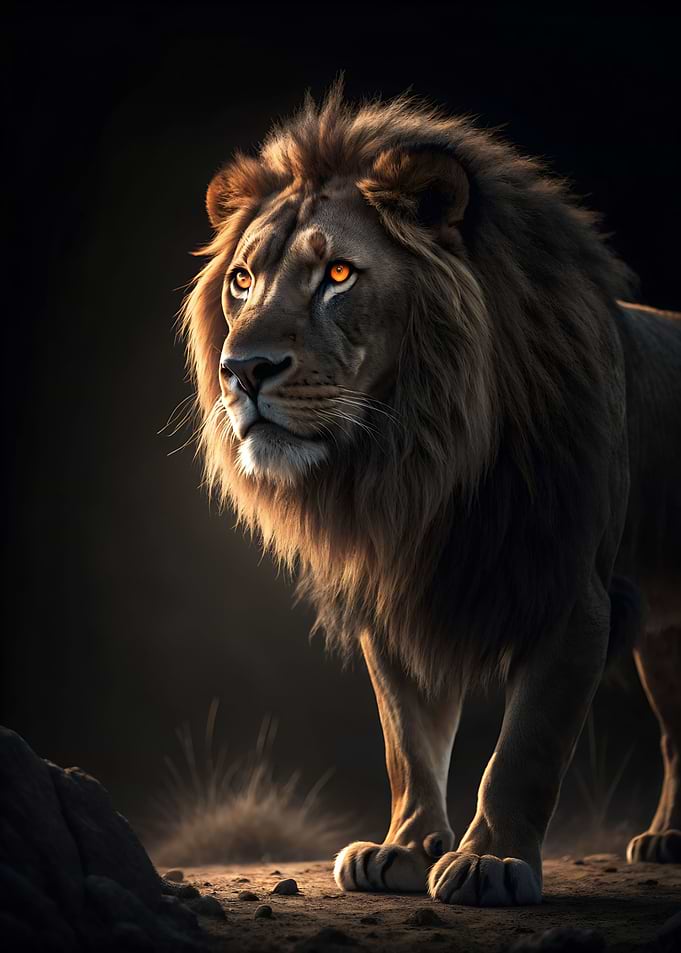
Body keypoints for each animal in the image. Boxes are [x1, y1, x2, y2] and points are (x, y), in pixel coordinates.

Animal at [181, 85, 681, 906]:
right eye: (242, 280)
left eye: (339, 275)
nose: (242, 370)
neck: (421, 454)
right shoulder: (396, 590)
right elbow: (407, 741)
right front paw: (405, 849)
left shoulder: (572, 594)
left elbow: (524, 747)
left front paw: (489, 861)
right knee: (674, 732)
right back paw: (668, 835)